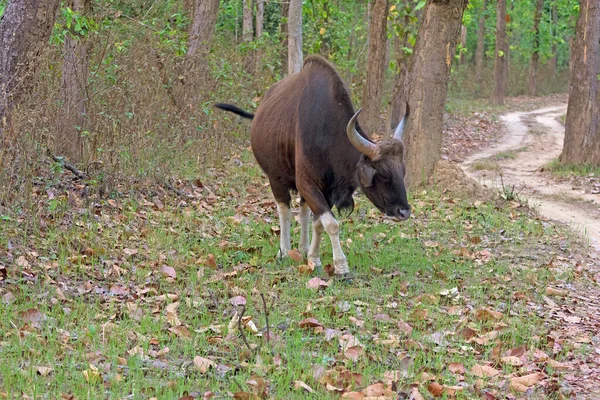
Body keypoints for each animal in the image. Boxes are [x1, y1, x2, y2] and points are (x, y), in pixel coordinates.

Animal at [213, 54, 410, 276]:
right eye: (383, 174)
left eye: (402, 172)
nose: (404, 212)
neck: (326, 135)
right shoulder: (307, 184)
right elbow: (332, 224)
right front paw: (341, 266)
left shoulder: (327, 190)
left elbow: (319, 224)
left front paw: (313, 258)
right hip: (275, 179)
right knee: (285, 211)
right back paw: (284, 250)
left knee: (304, 212)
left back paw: (303, 247)